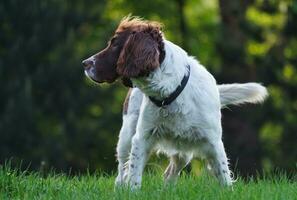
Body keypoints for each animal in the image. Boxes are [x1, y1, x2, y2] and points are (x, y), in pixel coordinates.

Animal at [82, 16, 268, 189]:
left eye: (114, 45)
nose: (85, 63)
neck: (170, 91)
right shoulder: (142, 137)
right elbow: (134, 174)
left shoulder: (213, 140)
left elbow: (223, 174)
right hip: (127, 134)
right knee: (122, 170)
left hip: (183, 148)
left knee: (171, 171)